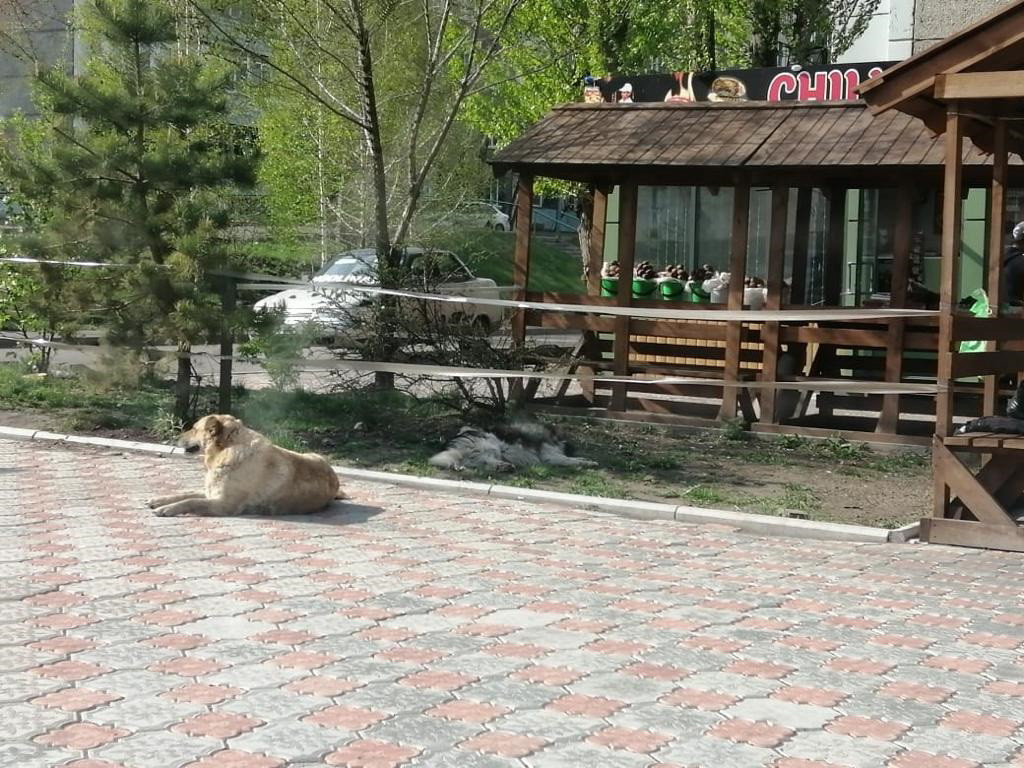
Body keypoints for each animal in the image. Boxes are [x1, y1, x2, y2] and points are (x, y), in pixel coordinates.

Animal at [148, 415, 346, 518]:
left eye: (194, 429)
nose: (175, 437)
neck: (226, 452)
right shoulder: (211, 493)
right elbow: (185, 494)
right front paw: (160, 500)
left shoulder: (224, 504)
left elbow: (191, 501)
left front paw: (166, 509)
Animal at [425, 421, 598, 475]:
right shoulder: (552, 457)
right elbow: (571, 461)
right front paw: (588, 463)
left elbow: (575, 459)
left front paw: (587, 460)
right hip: (491, 444)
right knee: (486, 461)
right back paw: (505, 466)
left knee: (484, 463)